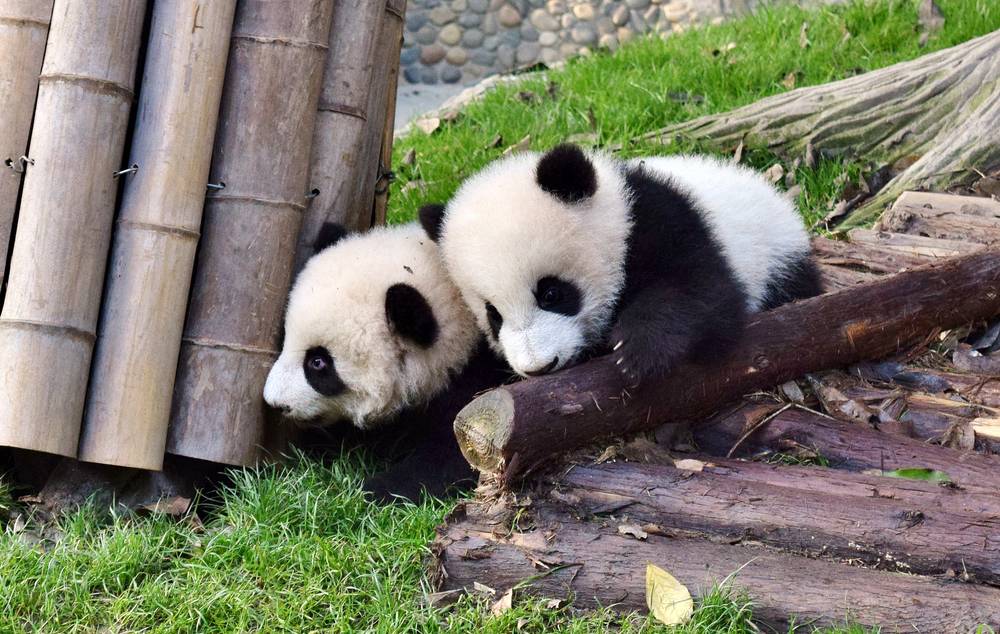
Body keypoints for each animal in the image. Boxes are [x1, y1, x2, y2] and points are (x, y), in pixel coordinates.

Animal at [263, 222, 509, 501]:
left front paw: (370, 491)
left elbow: (457, 455)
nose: (275, 403)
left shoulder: (477, 377)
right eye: (284, 338)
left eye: (317, 363)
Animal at [419, 144, 821, 385]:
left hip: (776, 261)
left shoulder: (663, 222)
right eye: (493, 315)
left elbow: (704, 293)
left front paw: (636, 351)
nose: (538, 367)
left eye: (551, 293)